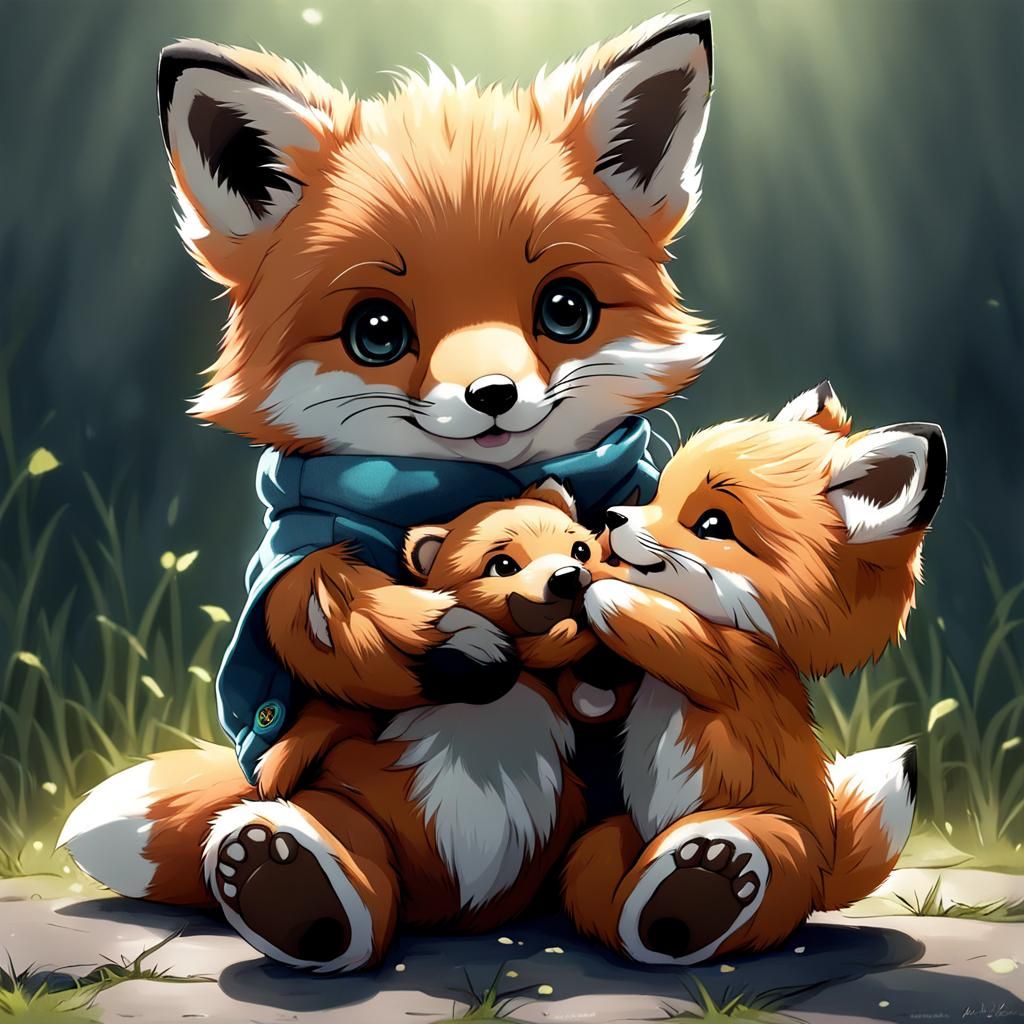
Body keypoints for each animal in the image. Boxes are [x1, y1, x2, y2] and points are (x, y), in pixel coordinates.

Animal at [557, 382, 947, 965]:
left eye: (712, 525)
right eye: (659, 495)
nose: (611, 516)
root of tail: (827, 871)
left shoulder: (733, 666)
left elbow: (666, 630)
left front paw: (605, 589)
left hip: (777, 835)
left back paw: (701, 889)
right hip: (610, 838)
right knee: (603, 891)